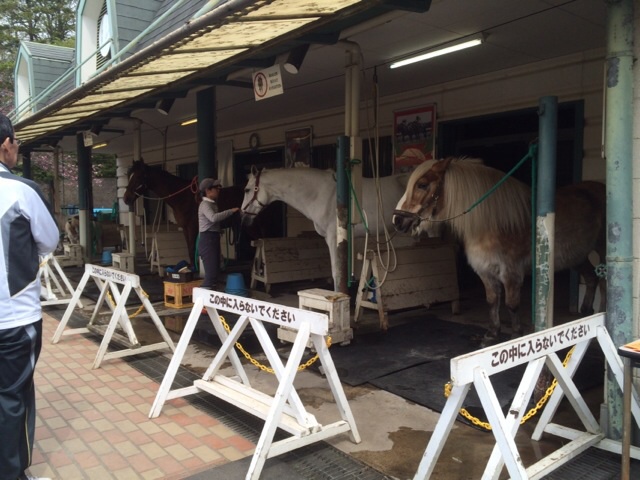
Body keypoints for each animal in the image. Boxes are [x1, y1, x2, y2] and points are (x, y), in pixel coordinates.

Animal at [392, 158, 608, 344]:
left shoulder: (510, 272)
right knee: (591, 278)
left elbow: (511, 304)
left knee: (604, 281)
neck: (490, 223)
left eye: (422, 185)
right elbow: (492, 300)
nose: (397, 220)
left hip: (601, 251)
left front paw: (516, 334)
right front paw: (491, 334)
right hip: (576, 256)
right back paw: (586, 312)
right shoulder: (485, 270)